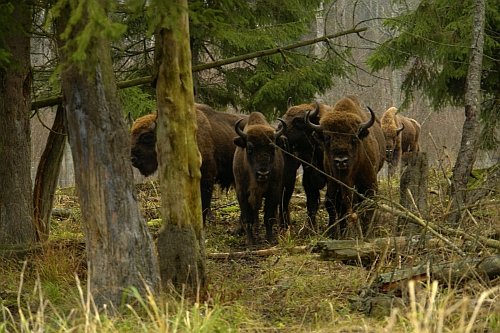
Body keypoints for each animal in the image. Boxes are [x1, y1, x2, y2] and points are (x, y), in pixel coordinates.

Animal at [233, 111, 288, 244]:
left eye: (273, 148)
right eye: (249, 148)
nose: (263, 173)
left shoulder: (274, 192)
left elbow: (269, 217)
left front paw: (269, 239)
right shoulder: (242, 192)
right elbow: (247, 217)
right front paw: (250, 241)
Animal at [302, 94, 384, 237]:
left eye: (354, 138)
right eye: (327, 138)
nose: (341, 161)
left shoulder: (369, 184)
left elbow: (368, 207)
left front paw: (367, 233)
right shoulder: (335, 185)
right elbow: (339, 208)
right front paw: (340, 233)